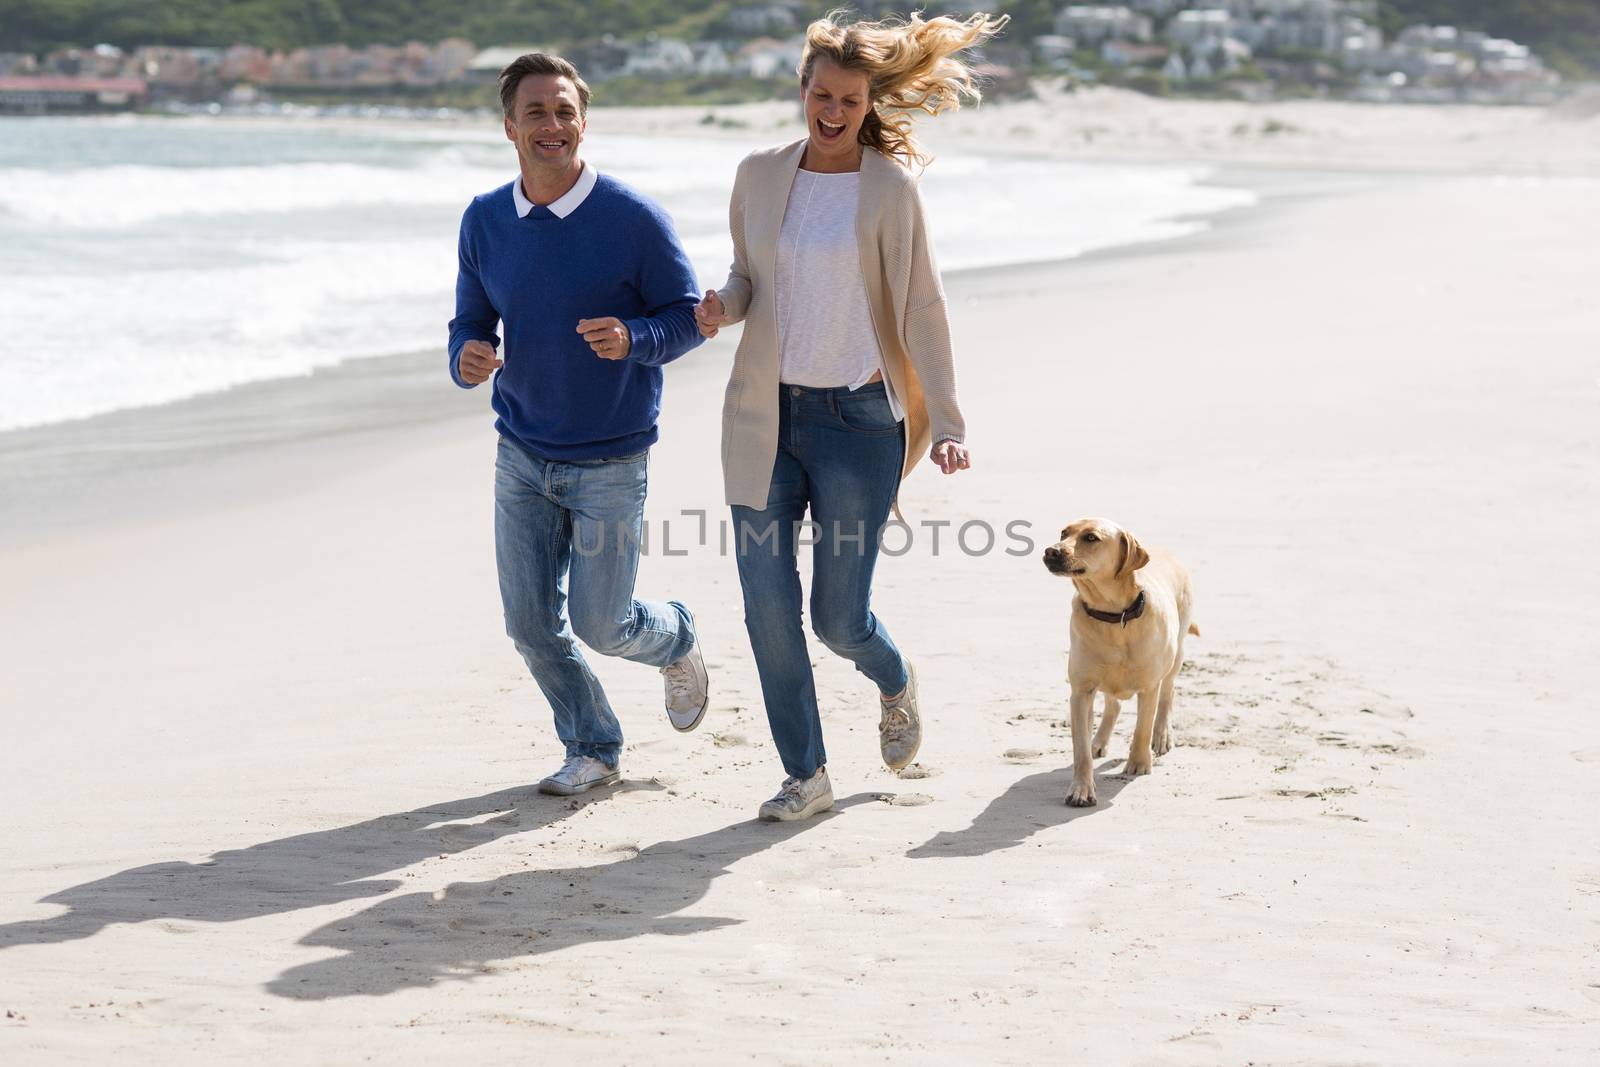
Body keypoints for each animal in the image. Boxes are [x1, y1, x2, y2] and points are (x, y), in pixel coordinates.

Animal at [1036, 518, 1203, 809]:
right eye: (1063, 533)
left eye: (1091, 538)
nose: (1051, 551)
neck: (1114, 615)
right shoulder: (1081, 692)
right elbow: (1080, 750)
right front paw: (1081, 788)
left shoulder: (1149, 686)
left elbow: (1142, 728)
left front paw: (1138, 764)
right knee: (1112, 706)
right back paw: (1098, 741)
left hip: (1176, 654)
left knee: (1168, 693)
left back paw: (1162, 736)